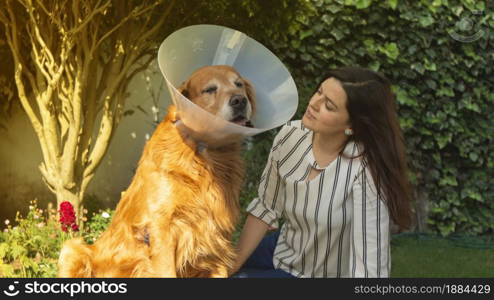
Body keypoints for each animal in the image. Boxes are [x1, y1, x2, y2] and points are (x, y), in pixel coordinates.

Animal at [58, 65, 255, 276]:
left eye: (239, 84)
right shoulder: (163, 227)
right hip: (72, 247)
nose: (239, 100)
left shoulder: (217, 234)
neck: (204, 155)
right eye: (210, 89)